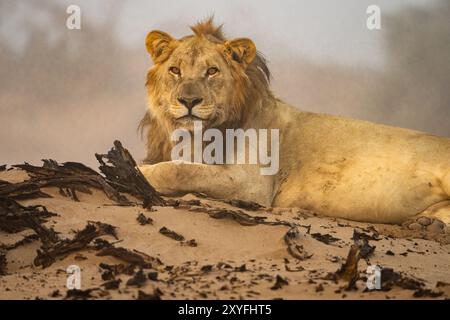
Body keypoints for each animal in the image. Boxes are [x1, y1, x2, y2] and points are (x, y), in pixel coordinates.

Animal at [138, 18, 450, 230]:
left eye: (212, 71)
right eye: (175, 70)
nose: (188, 101)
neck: (195, 135)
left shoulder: (251, 184)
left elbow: (179, 170)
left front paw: (142, 172)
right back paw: (427, 223)